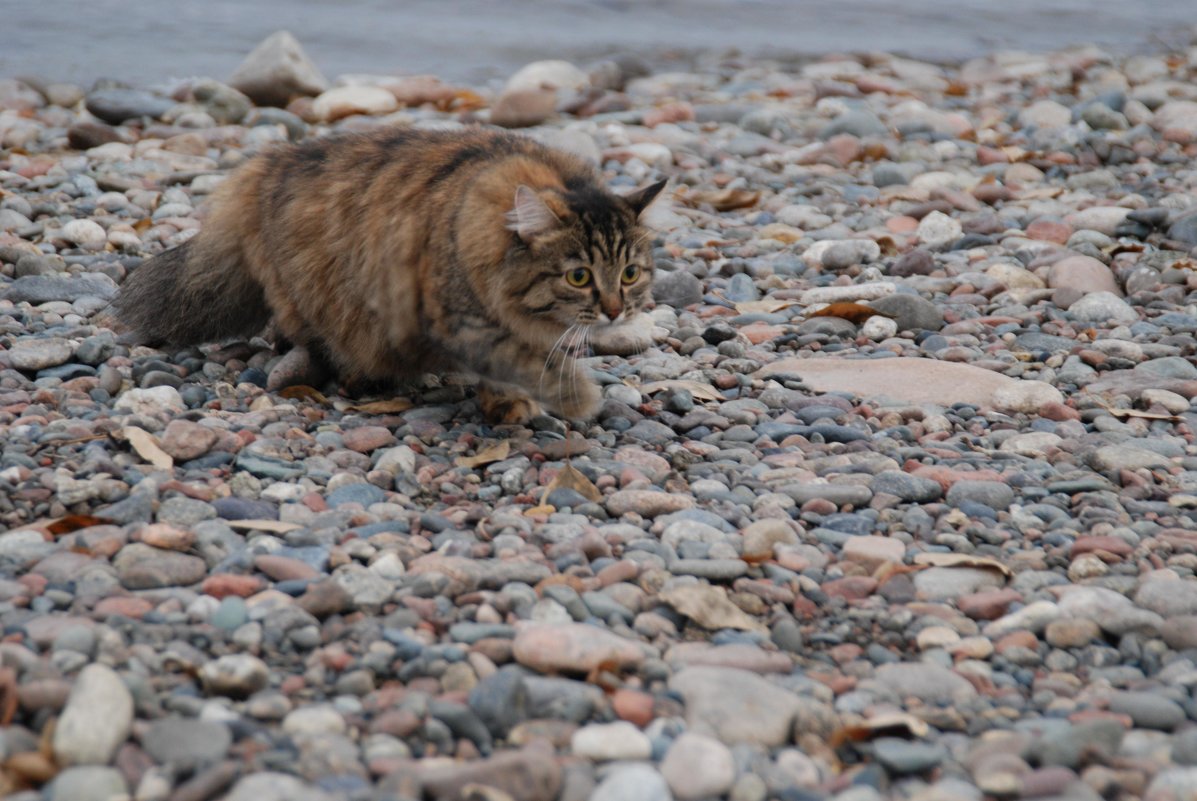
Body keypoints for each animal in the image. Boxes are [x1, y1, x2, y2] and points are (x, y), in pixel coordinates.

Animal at [111, 125, 665, 421]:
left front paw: (508, 403)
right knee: (305, 338)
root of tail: (263, 166)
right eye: (579, 277)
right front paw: (578, 397)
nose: (615, 311)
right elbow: (524, 362)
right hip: (315, 296)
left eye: (630, 273)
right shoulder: (461, 322)